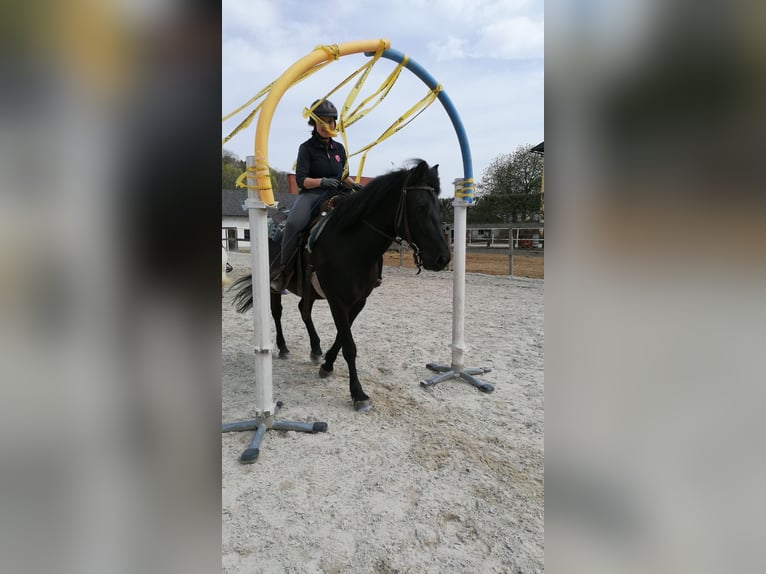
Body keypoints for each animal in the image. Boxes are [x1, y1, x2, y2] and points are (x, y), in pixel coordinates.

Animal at [231, 162, 452, 412]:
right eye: (421, 206)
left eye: (439, 207)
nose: (443, 258)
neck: (352, 243)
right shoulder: (337, 300)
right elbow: (349, 346)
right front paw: (358, 394)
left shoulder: (358, 300)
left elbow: (341, 337)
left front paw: (326, 364)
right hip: (273, 285)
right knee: (277, 312)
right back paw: (284, 347)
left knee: (303, 310)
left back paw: (315, 349)